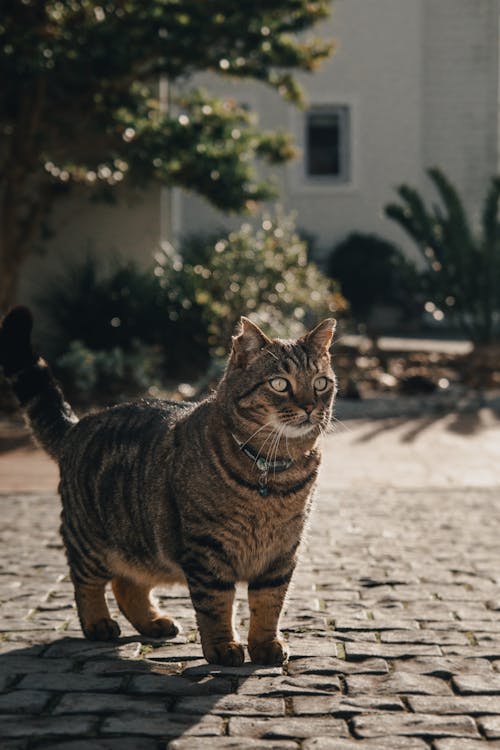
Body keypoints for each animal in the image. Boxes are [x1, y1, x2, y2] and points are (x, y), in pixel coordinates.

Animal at [0, 308, 336, 668]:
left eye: (321, 383)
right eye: (279, 384)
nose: (310, 407)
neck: (270, 472)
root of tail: (79, 426)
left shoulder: (282, 551)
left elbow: (269, 603)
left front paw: (265, 645)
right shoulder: (206, 549)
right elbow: (216, 605)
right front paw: (223, 647)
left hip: (143, 547)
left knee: (126, 585)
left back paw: (154, 622)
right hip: (90, 541)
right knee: (85, 582)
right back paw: (98, 623)